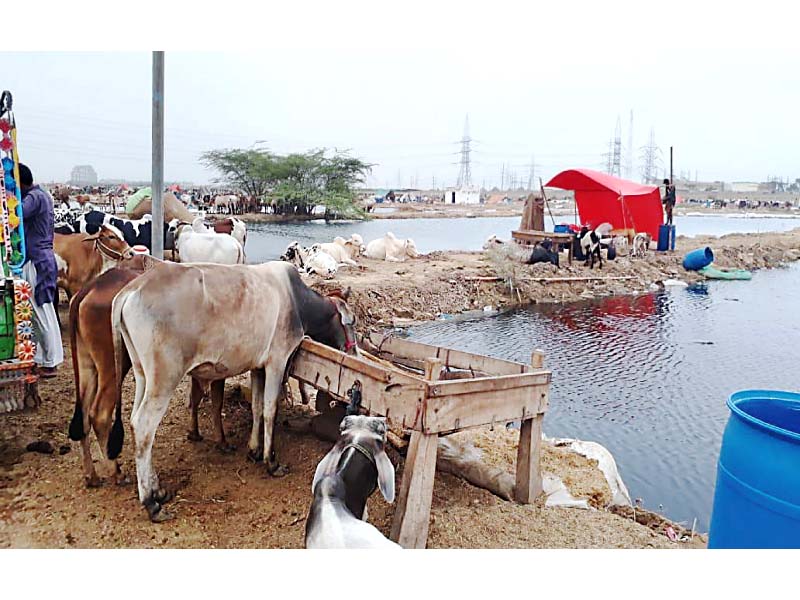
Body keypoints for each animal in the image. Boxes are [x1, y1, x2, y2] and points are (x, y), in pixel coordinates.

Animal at [108, 262, 356, 520]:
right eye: (352, 321)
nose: (354, 350)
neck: (298, 302)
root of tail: (133, 288)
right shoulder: (277, 361)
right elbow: (270, 410)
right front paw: (271, 462)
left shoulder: (258, 367)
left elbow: (257, 407)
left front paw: (254, 451)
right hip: (164, 378)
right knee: (144, 426)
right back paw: (151, 502)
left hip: (142, 374)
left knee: (134, 421)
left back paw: (157, 490)